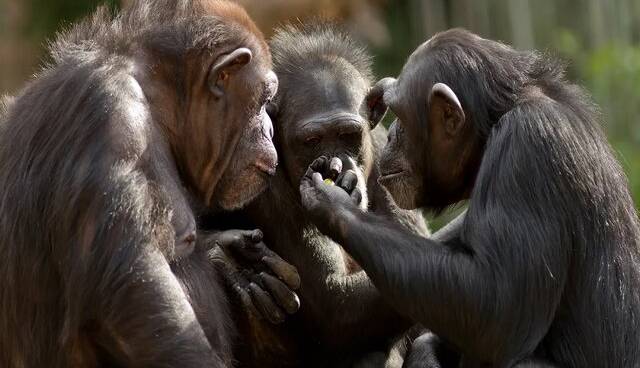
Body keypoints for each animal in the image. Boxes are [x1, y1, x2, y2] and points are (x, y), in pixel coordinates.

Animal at [0, 1, 300, 366]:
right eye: (264, 100)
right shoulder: (113, 121)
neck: (156, 101)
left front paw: (231, 260)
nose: (269, 129)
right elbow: (134, 292)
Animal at [212, 23, 432, 368]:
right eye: (312, 140)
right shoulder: (263, 188)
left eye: (347, 135)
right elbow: (335, 302)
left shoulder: (387, 153)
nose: (335, 164)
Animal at [298, 29, 640, 368]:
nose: (391, 133)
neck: (493, 125)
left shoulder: (528, 148)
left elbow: (496, 306)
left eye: (401, 116)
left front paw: (334, 202)